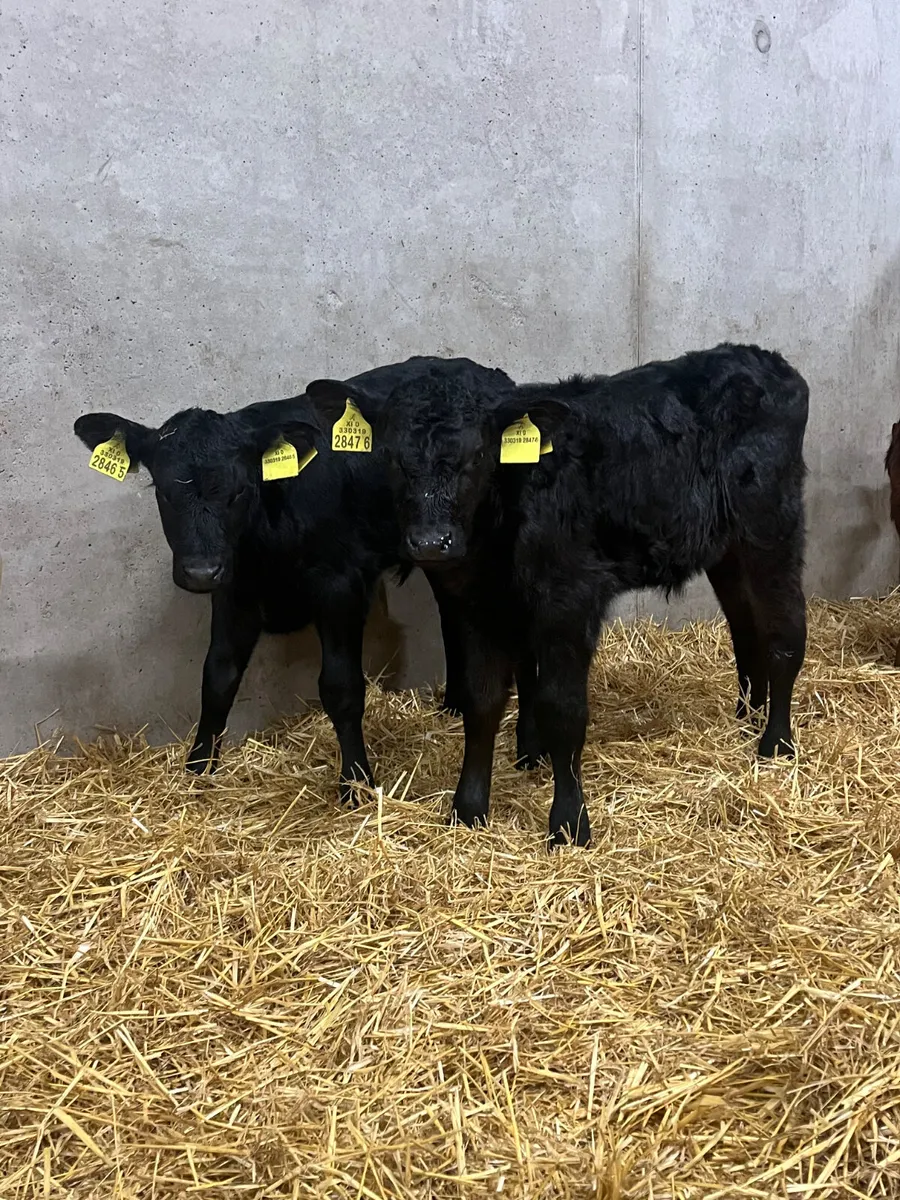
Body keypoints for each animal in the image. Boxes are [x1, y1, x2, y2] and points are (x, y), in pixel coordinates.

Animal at [73, 355, 539, 805]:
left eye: (240, 491)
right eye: (164, 492)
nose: (201, 571)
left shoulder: (339, 586)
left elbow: (341, 687)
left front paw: (356, 783)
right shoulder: (235, 589)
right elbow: (217, 678)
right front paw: (198, 769)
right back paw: (453, 707)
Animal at [305, 344, 809, 847]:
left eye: (478, 454)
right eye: (391, 457)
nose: (431, 542)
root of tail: (760, 358)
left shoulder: (570, 599)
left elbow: (563, 712)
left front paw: (569, 824)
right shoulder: (476, 606)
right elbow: (481, 702)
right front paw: (468, 810)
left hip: (772, 526)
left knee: (784, 634)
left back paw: (776, 744)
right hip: (726, 547)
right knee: (745, 626)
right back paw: (747, 718)